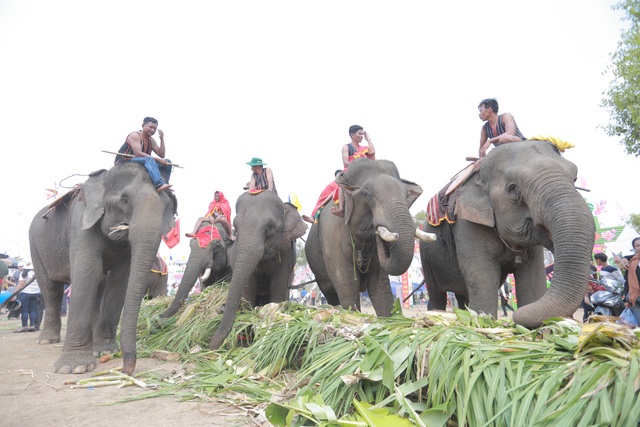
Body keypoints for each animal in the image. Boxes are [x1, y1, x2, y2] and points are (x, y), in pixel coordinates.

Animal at [29, 162, 176, 376]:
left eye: (166, 206)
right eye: (124, 199)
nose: (127, 369)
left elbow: (121, 277)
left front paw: (105, 351)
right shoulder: (82, 221)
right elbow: (88, 269)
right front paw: (74, 368)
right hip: (36, 247)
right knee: (51, 289)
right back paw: (46, 340)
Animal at [209, 191, 306, 352]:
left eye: (271, 227)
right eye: (235, 228)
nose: (212, 347)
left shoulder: (285, 252)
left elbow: (278, 289)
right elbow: (249, 289)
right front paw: (247, 339)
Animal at [304, 158, 430, 318]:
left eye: (407, 194)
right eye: (365, 193)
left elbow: (380, 285)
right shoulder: (331, 233)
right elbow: (347, 284)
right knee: (331, 295)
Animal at [420, 140, 596, 328]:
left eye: (575, 178)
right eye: (513, 189)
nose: (513, 317)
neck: (478, 177)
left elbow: (533, 279)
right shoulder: (467, 223)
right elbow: (482, 278)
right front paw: (485, 323)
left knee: (462, 297)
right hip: (427, 260)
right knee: (437, 294)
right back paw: (434, 315)